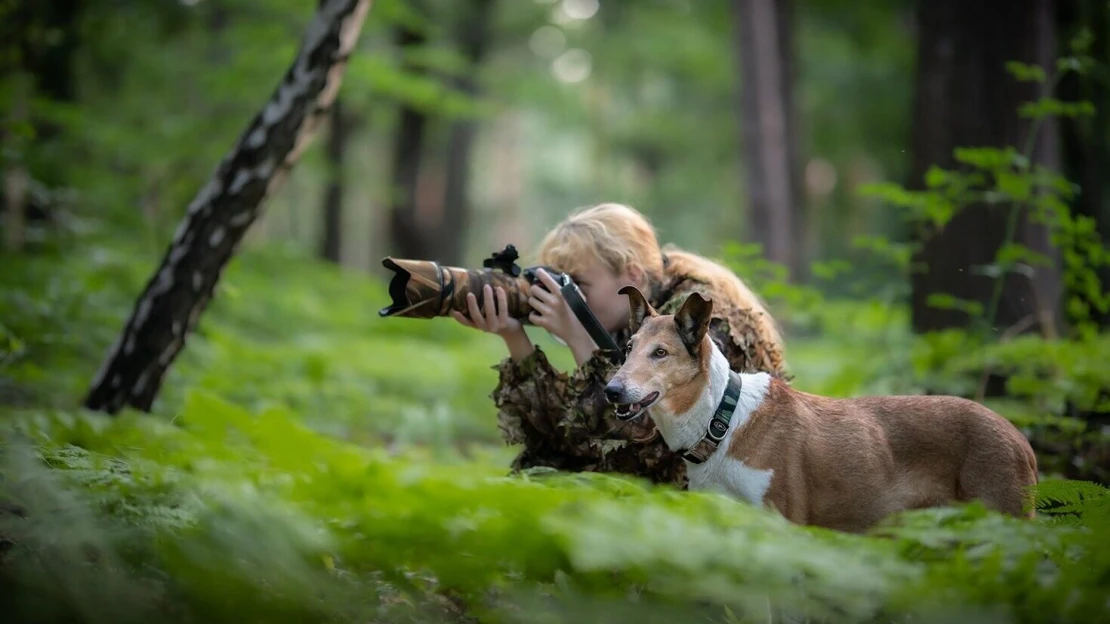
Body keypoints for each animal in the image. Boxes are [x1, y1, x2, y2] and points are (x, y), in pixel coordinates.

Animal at [603, 284, 1034, 532]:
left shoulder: (782, 526)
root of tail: (1018, 436)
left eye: (660, 353)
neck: (720, 422)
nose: (611, 390)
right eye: (628, 349)